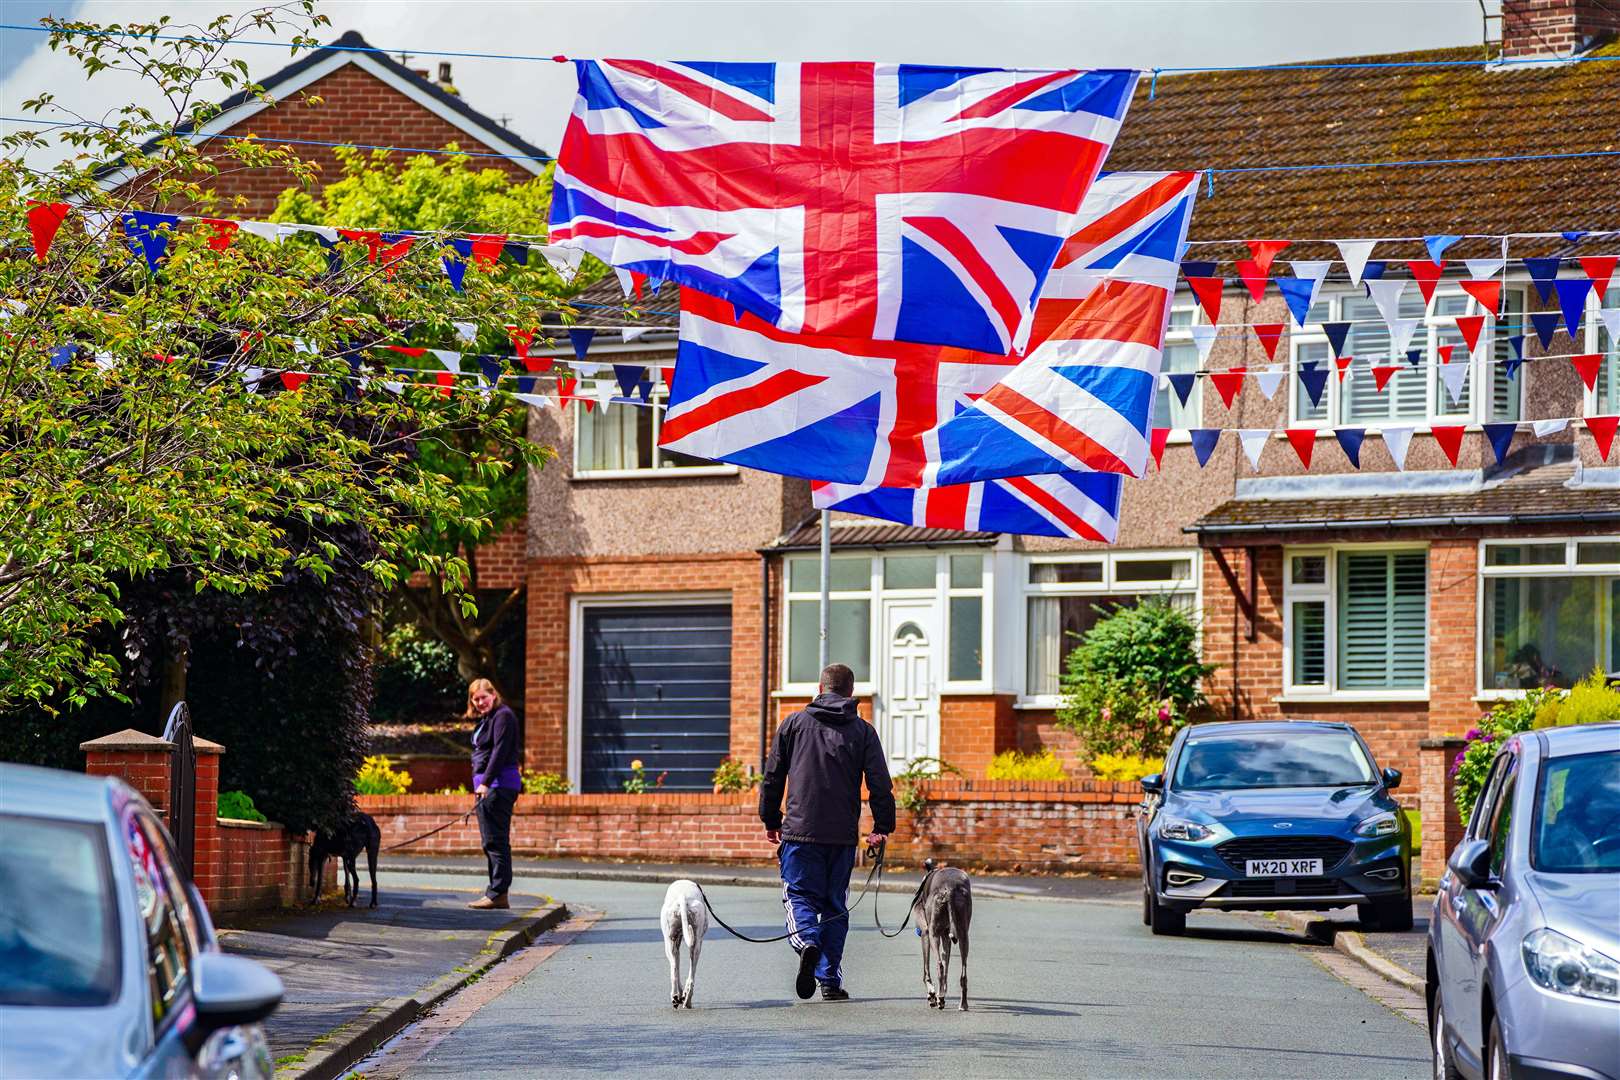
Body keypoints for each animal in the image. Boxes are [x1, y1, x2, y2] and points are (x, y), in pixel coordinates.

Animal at [657, 880, 709, 1010]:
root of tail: (683, 896)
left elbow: (676, 968)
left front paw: (680, 996)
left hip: (670, 943)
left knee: (674, 972)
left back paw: (677, 997)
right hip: (696, 944)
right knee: (690, 977)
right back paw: (685, 1000)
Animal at [913, 867, 972, 1010]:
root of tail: (950, 887)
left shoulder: (925, 933)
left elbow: (926, 971)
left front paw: (932, 996)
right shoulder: (946, 937)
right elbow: (946, 965)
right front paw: (942, 995)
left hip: (932, 934)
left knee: (939, 966)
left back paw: (939, 998)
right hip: (963, 935)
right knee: (963, 974)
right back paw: (963, 1004)